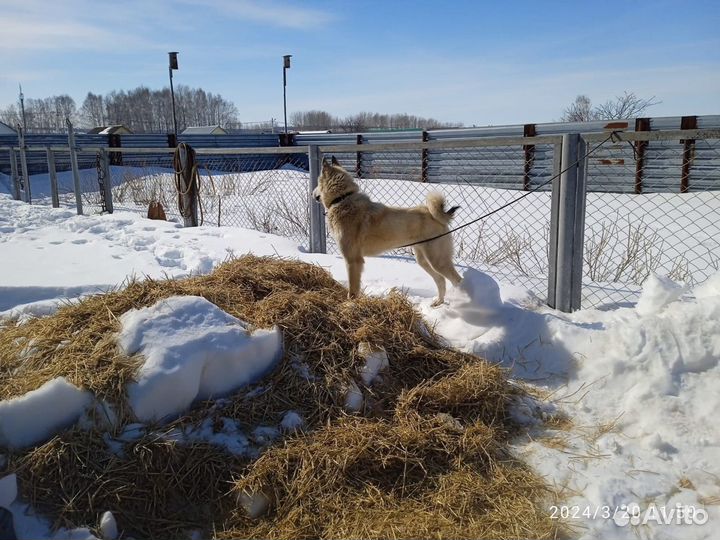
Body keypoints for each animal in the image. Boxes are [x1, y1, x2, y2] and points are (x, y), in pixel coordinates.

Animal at [314, 157, 462, 308]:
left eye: (318, 183)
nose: (312, 194)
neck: (342, 199)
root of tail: (436, 216)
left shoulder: (353, 260)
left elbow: (352, 291)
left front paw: (350, 305)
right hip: (424, 260)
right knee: (441, 280)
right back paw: (438, 302)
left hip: (437, 261)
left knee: (457, 280)